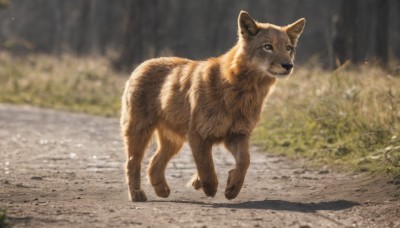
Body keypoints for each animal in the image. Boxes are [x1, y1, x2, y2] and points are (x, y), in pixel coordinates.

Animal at [120, 10, 304, 201]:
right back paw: (136, 194)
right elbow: (206, 166)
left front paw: (232, 188)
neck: (241, 91)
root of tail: (142, 64)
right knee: (132, 163)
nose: (288, 65)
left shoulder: (238, 134)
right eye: (268, 47)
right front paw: (208, 187)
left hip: (173, 141)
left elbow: (244, 161)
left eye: (288, 48)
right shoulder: (198, 135)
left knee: (154, 163)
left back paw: (161, 190)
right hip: (139, 132)